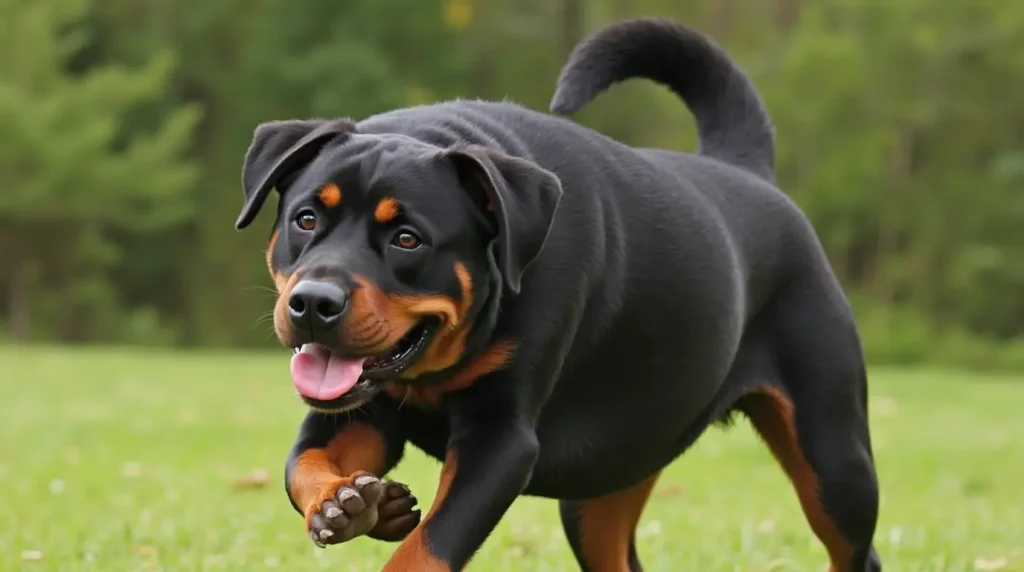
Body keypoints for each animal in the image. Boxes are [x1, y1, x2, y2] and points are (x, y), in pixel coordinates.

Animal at [234, 16, 880, 572]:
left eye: (407, 238)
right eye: (306, 219)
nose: (314, 302)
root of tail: (748, 171)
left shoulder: (502, 439)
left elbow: (429, 548)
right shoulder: (356, 412)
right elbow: (302, 466)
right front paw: (352, 504)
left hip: (833, 456)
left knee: (855, 547)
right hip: (608, 478)